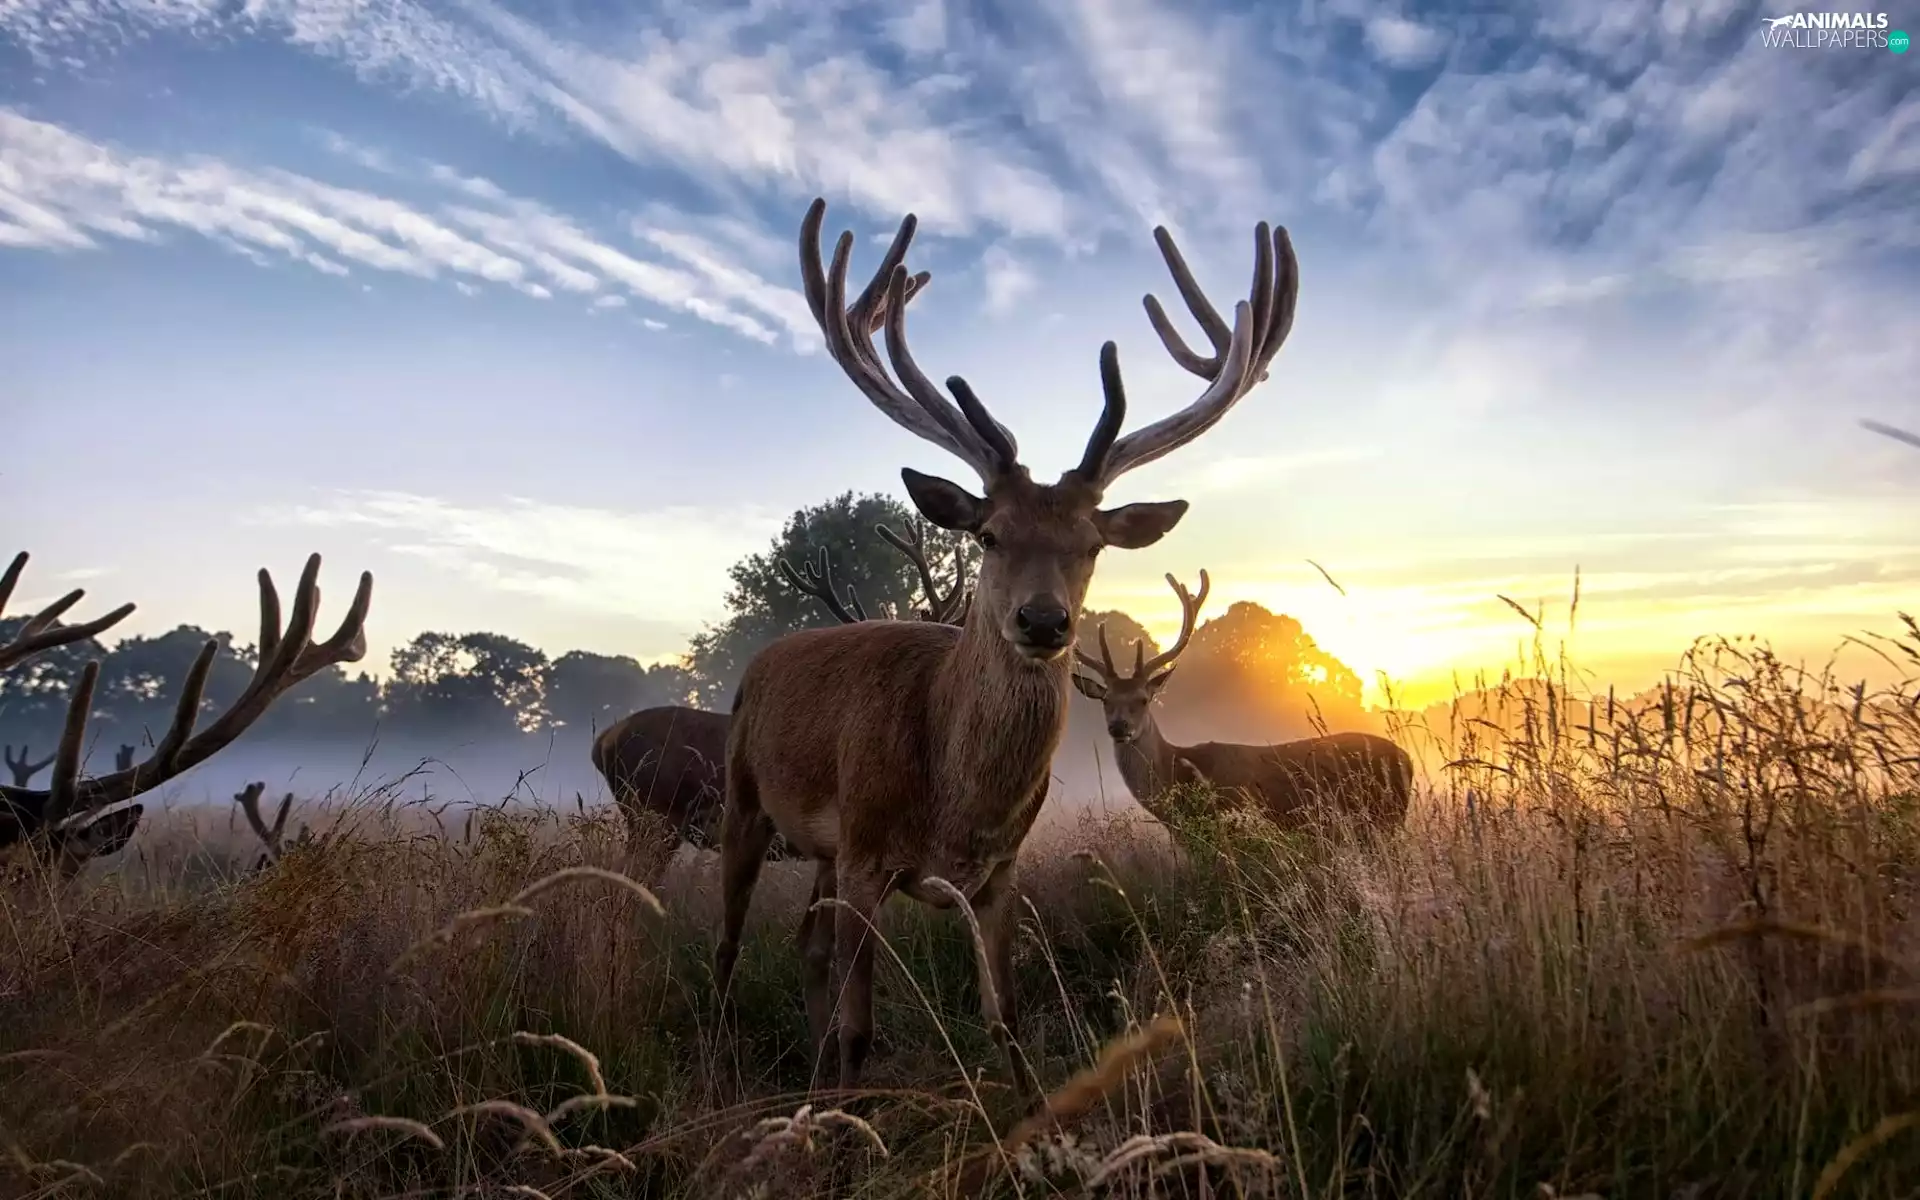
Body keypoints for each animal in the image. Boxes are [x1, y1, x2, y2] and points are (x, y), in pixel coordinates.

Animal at [714, 196, 1298, 1098]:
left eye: (1091, 544)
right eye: (987, 534)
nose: (1044, 621)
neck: (954, 803)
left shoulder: (998, 875)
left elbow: (1009, 1023)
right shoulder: (866, 851)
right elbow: (861, 1030)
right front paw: (849, 1109)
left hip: (819, 851)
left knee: (804, 945)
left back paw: (810, 1082)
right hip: (743, 797)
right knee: (728, 946)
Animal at [1071, 570, 1413, 836]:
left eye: (1143, 699)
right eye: (1105, 700)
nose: (1119, 727)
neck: (1177, 774)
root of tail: (1407, 759)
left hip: (1384, 818)